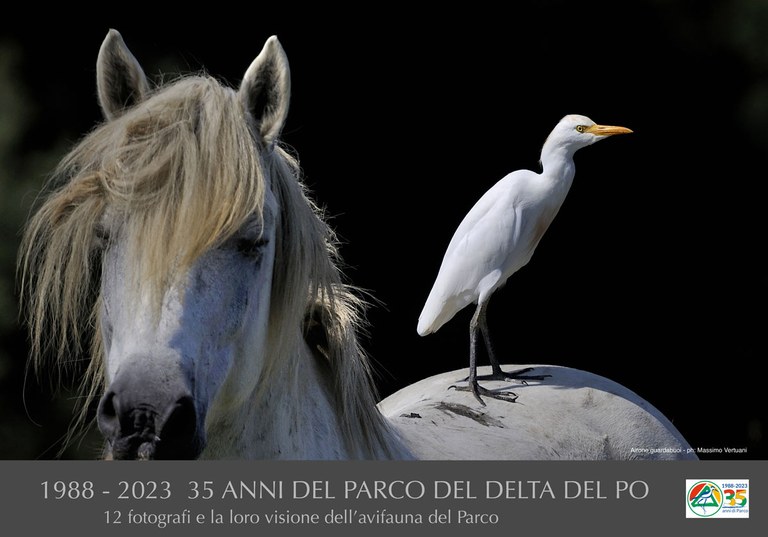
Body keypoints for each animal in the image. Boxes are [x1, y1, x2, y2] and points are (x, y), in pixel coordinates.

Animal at [19, 29, 696, 458]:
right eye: (584, 127)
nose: (614, 129)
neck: (540, 188)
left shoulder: (503, 274)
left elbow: (488, 319)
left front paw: (506, 377)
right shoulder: (488, 270)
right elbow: (477, 319)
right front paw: (486, 387)